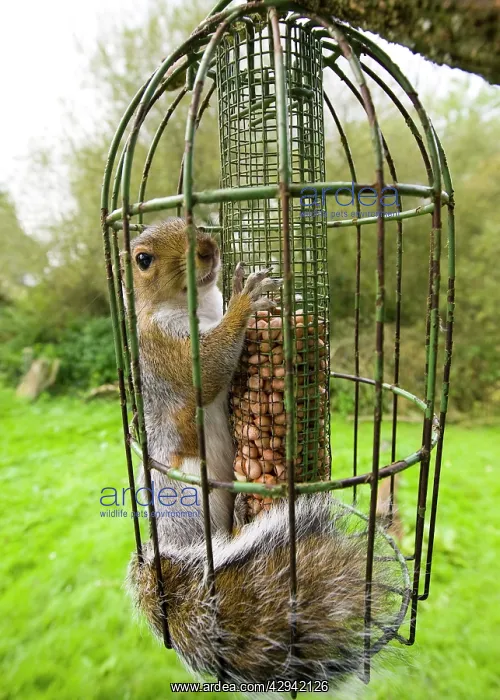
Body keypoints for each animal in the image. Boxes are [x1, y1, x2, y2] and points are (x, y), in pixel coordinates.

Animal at [127, 218, 403, 687]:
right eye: (143, 260)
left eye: (196, 224)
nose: (207, 247)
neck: (195, 307)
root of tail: (164, 555)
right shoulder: (165, 350)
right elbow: (208, 371)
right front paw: (245, 299)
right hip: (190, 498)